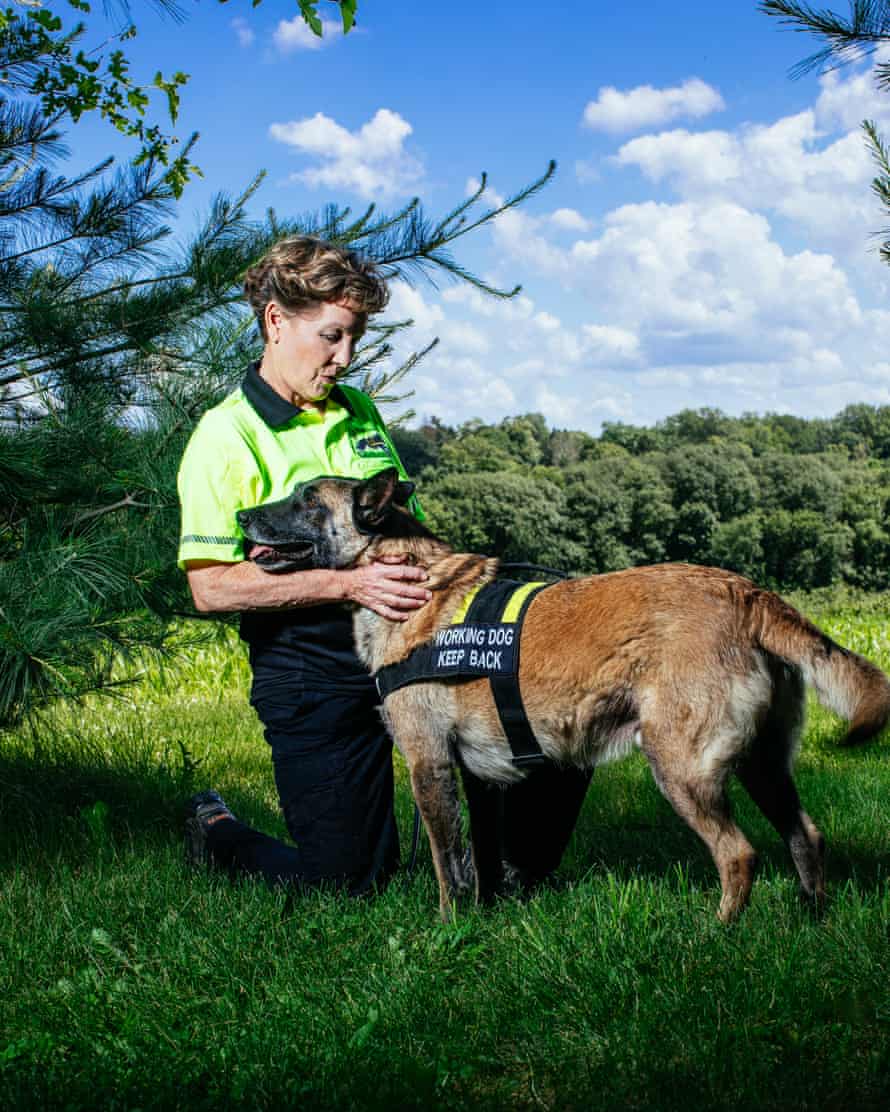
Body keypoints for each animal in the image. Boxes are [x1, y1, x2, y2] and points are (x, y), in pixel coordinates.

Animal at [235, 469, 889, 920]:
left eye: (307, 500)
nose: (241, 515)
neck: (414, 584)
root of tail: (747, 592)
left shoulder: (428, 763)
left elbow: (449, 868)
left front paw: (447, 930)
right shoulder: (481, 777)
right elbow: (481, 860)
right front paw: (486, 920)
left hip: (679, 766)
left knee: (739, 855)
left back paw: (718, 932)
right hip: (762, 765)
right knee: (805, 835)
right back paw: (811, 917)